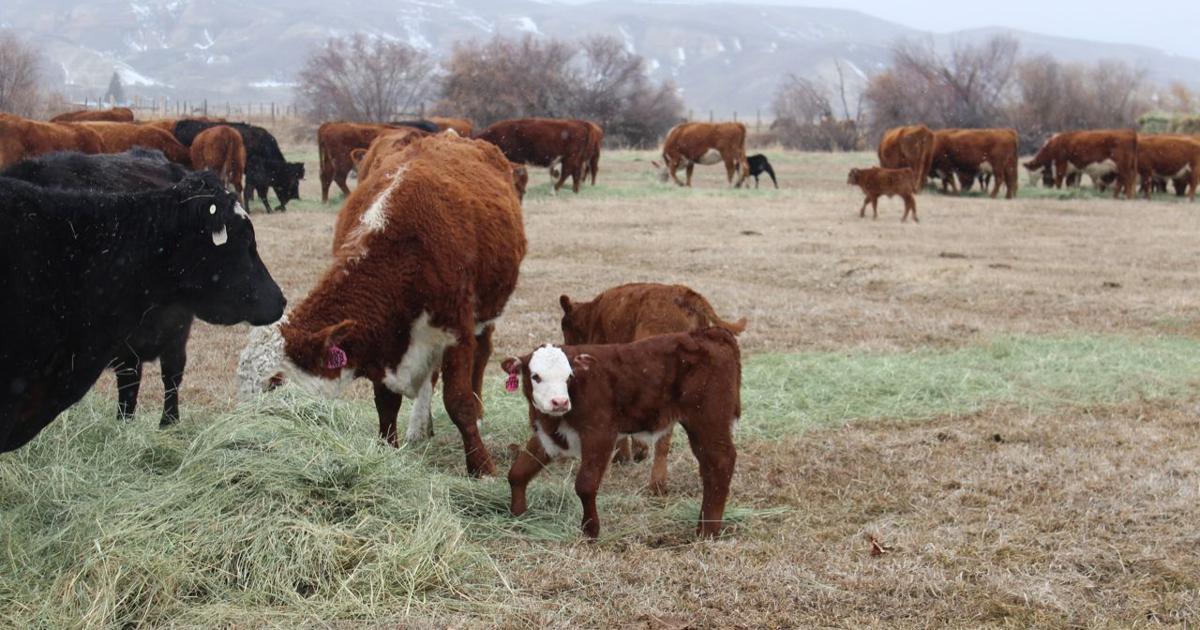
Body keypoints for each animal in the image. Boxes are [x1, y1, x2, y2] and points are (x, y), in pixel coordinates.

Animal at [235, 133, 527, 477]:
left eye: (275, 381)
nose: (242, 428)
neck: (404, 251)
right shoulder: (383, 340)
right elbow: (386, 404)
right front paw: (389, 451)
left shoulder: (457, 330)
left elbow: (458, 402)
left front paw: (482, 467)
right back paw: (419, 428)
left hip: (486, 314)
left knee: (481, 357)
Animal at [502, 327, 741, 538]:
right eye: (535, 376)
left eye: (568, 376)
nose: (559, 402)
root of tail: (709, 333)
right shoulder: (547, 436)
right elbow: (518, 472)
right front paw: (518, 515)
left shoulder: (600, 433)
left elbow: (585, 484)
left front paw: (590, 531)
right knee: (709, 467)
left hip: (708, 419)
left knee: (721, 462)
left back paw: (707, 531)